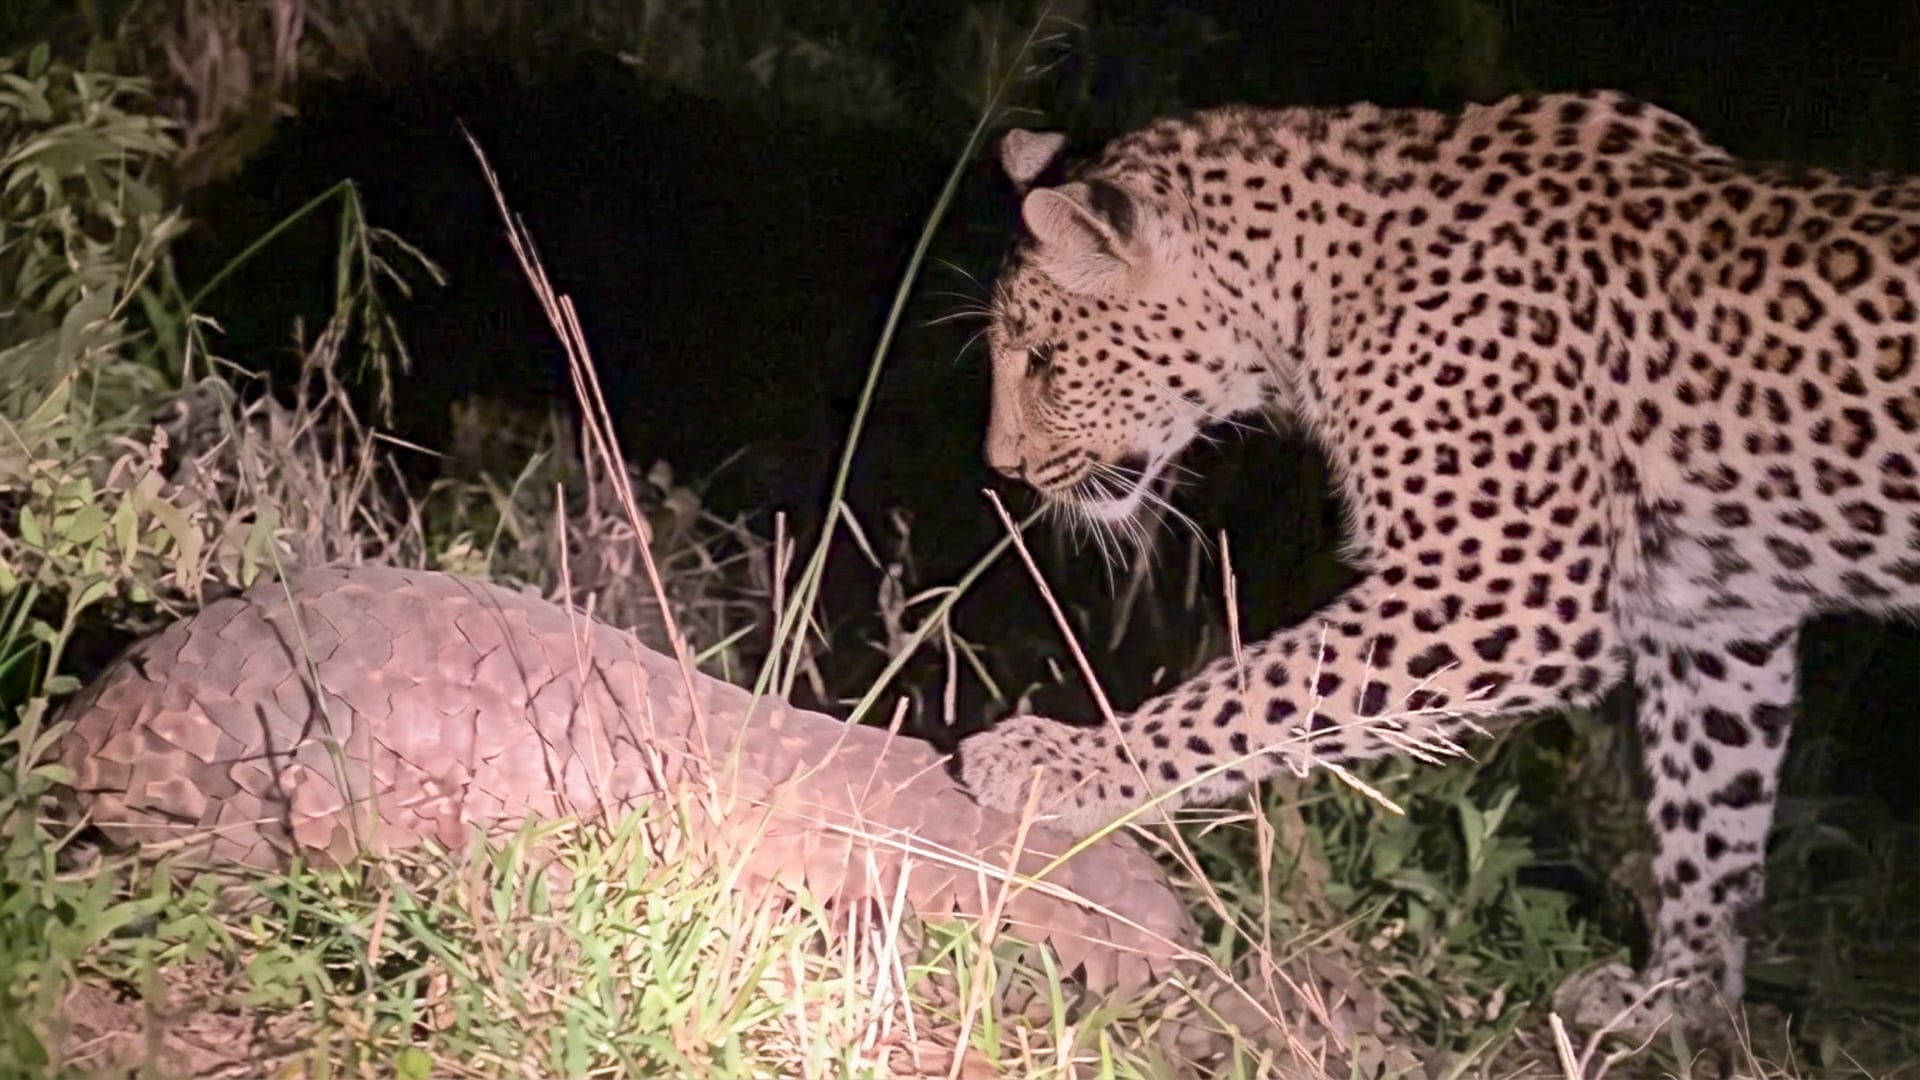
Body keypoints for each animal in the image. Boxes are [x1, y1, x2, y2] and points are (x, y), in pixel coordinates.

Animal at [951, 88, 1920, 1042]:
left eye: (1044, 358)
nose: (1003, 467)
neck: (1311, 292)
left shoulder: (1505, 591)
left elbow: (1254, 693)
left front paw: (1064, 764)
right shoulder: (1716, 615)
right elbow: (1713, 806)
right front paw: (1675, 1000)